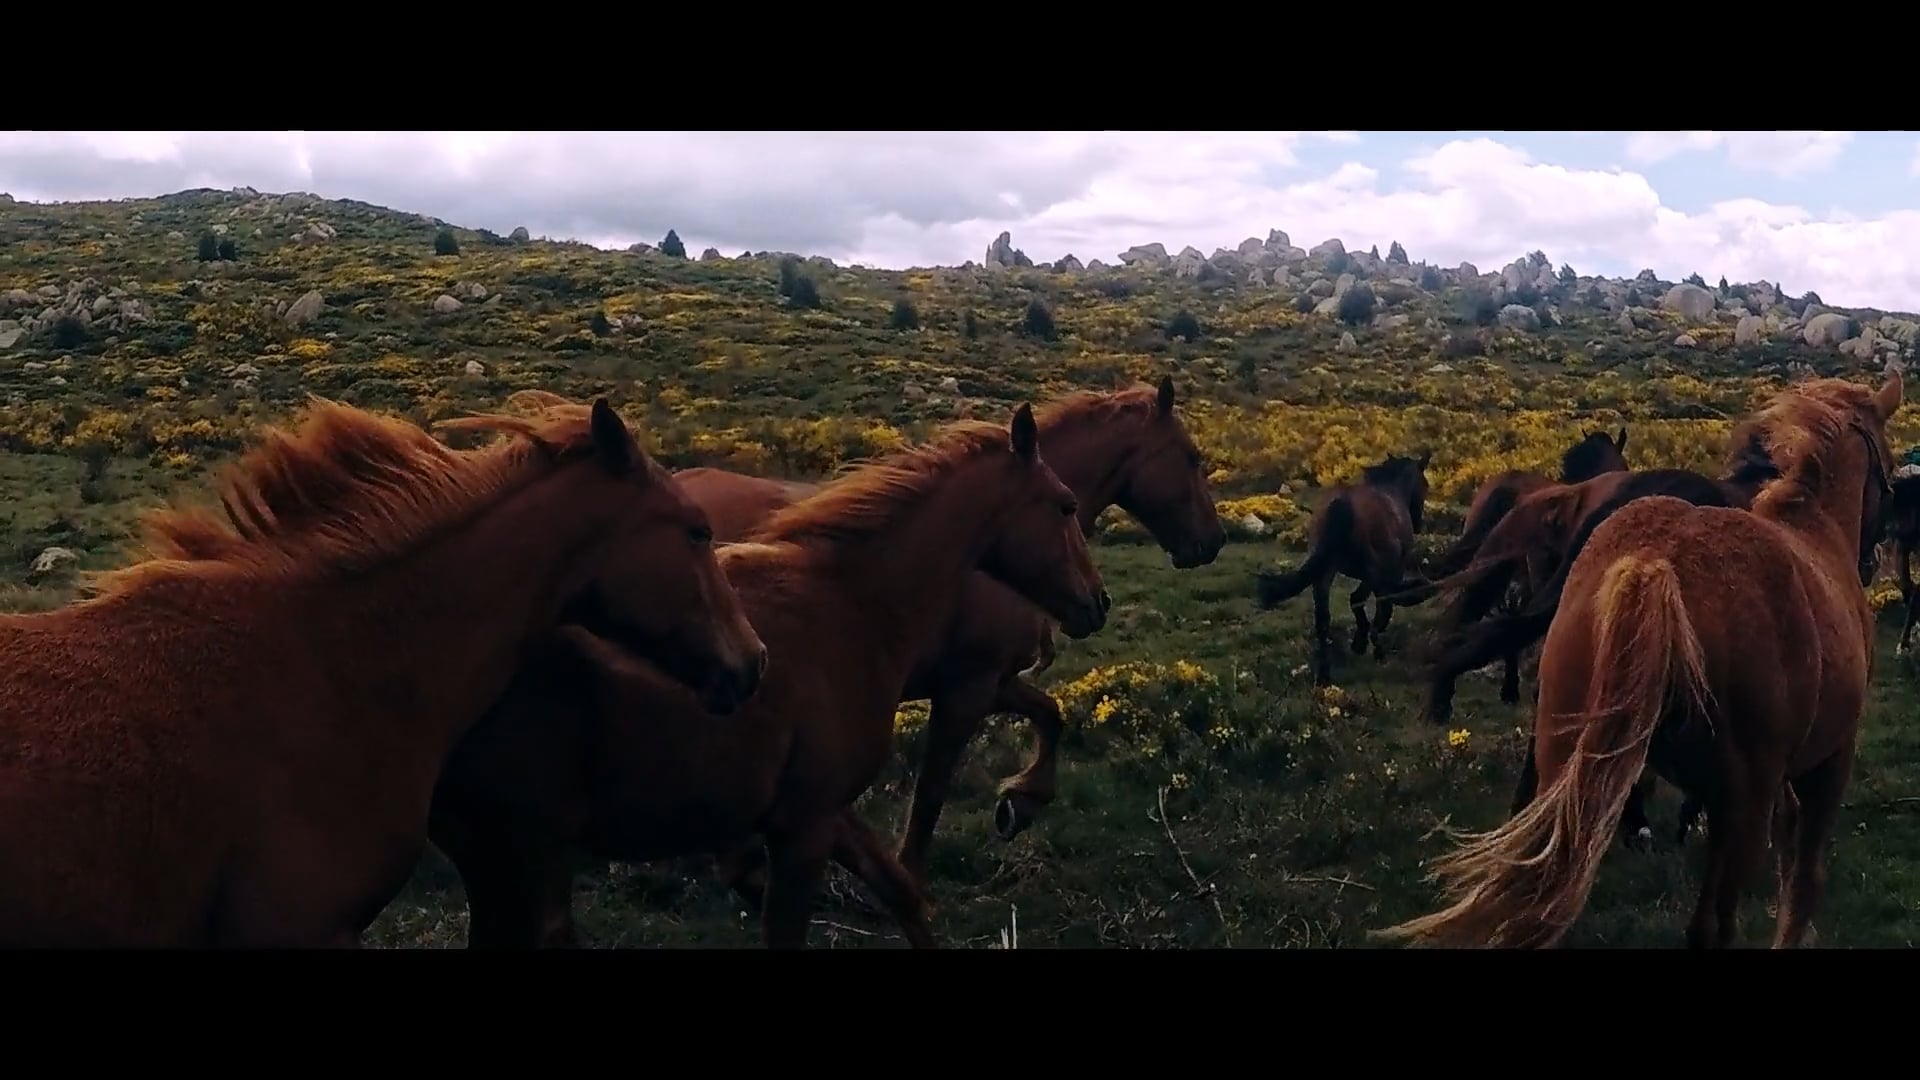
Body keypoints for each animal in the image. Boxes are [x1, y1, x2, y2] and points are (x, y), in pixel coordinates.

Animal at [428, 402, 1113, 948]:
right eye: (1066, 505)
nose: (1097, 602)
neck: (854, 602)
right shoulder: (805, 826)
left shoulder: (823, 809)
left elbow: (902, 894)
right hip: (523, 857)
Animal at [684, 378, 1225, 901]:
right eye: (1192, 456)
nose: (1214, 540)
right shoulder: (965, 692)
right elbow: (930, 799)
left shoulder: (991, 681)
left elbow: (1051, 714)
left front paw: (1020, 802)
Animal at [1252, 452, 1432, 685]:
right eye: (1425, 484)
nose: (1418, 524)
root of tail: (1342, 504)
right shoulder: (1386, 574)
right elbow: (1382, 607)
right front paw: (1369, 645)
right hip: (1372, 572)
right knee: (1362, 600)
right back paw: (1367, 646)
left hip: (1325, 573)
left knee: (1322, 619)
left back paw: (1324, 675)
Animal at [1374, 373, 1902, 950]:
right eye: (1889, 474)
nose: (1872, 562)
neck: (1811, 525)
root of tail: (1654, 561)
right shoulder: (1825, 764)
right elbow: (1802, 883)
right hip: (1742, 809)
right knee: (1713, 925)